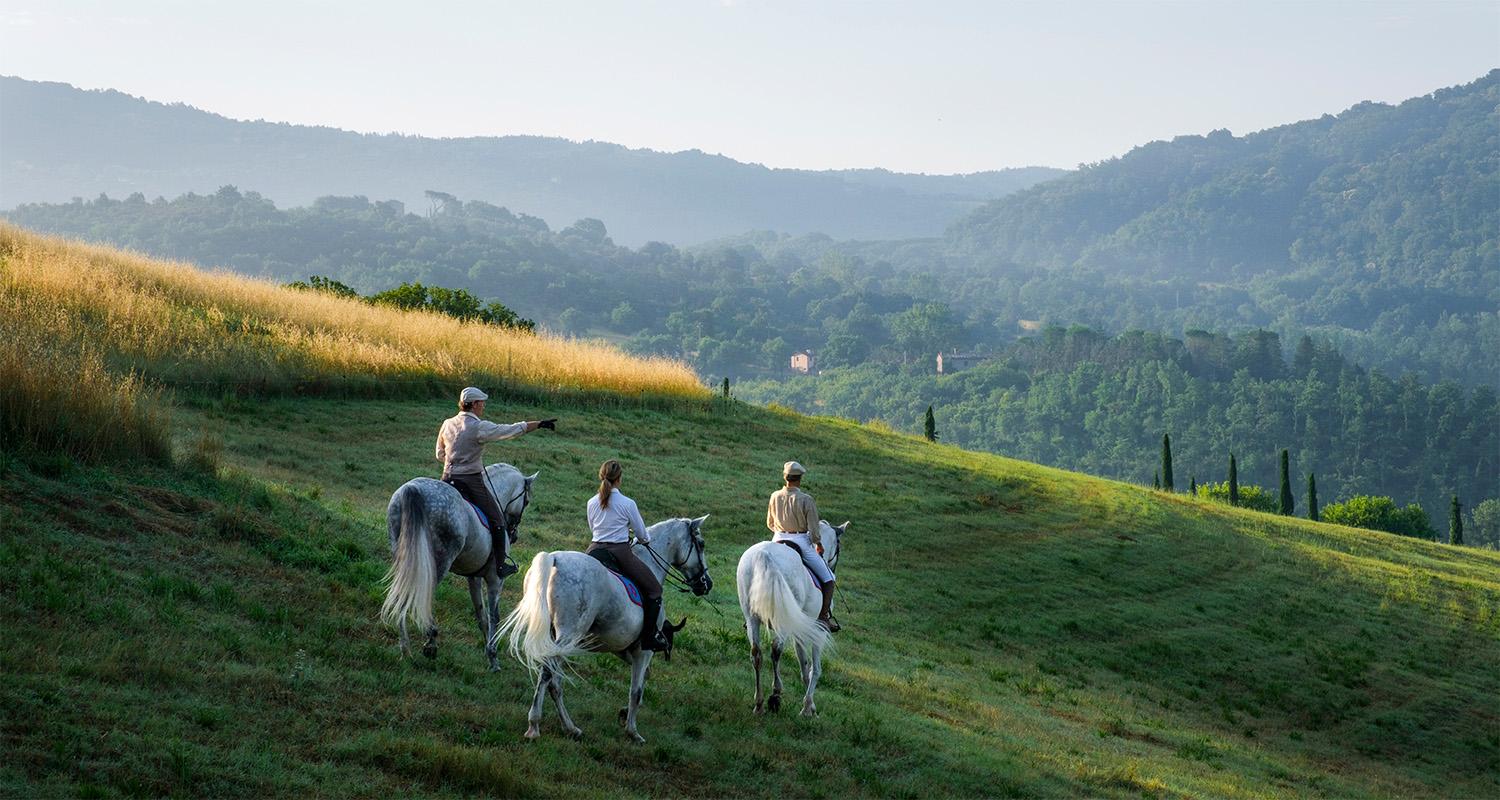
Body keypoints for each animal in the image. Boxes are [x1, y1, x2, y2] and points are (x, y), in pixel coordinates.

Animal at [381, 459, 540, 669]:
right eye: (526, 501)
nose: (514, 535)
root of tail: (412, 489)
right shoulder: (495, 579)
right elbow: (494, 616)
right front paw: (493, 657)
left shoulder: (473, 577)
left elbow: (481, 616)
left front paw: (487, 653)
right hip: (438, 563)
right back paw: (431, 641)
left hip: (405, 558)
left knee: (402, 596)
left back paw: (406, 650)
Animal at [498, 513, 714, 744]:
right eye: (701, 544)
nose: (706, 584)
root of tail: (554, 559)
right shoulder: (644, 650)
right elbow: (636, 690)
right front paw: (632, 731)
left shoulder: (623, 647)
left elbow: (644, 677)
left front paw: (624, 714)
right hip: (567, 637)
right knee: (548, 675)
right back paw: (534, 725)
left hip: (554, 636)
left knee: (555, 682)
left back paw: (571, 728)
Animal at [735, 516, 846, 717]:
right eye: (838, 545)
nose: (833, 566)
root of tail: (764, 553)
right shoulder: (819, 630)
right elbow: (815, 669)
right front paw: (809, 708)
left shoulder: (800, 630)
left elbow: (804, 666)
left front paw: (809, 705)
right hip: (783, 621)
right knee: (776, 648)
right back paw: (775, 696)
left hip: (752, 617)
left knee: (756, 653)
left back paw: (759, 704)